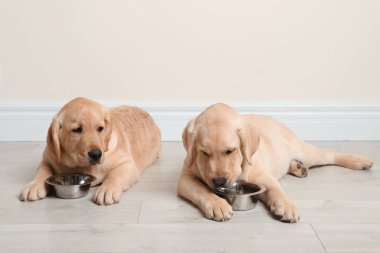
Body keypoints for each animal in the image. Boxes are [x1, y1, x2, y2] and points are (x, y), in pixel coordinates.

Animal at [20, 97, 161, 206]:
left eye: (100, 128)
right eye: (77, 129)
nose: (96, 154)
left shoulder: (127, 163)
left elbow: (115, 175)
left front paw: (107, 190)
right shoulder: (47, 159)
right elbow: (43, 172)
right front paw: (33, 186)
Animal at [178, 102, 374, 221]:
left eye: (230, 151)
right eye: (204, 153)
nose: (219, 182)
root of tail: (275, 119)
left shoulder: (262, 176)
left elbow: (275, 189)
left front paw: (286, 205)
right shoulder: (186, 177)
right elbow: (202, 191)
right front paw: (217, 204)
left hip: (304, 150)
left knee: (328, 154)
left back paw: (360, 160)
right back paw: (298, 167)